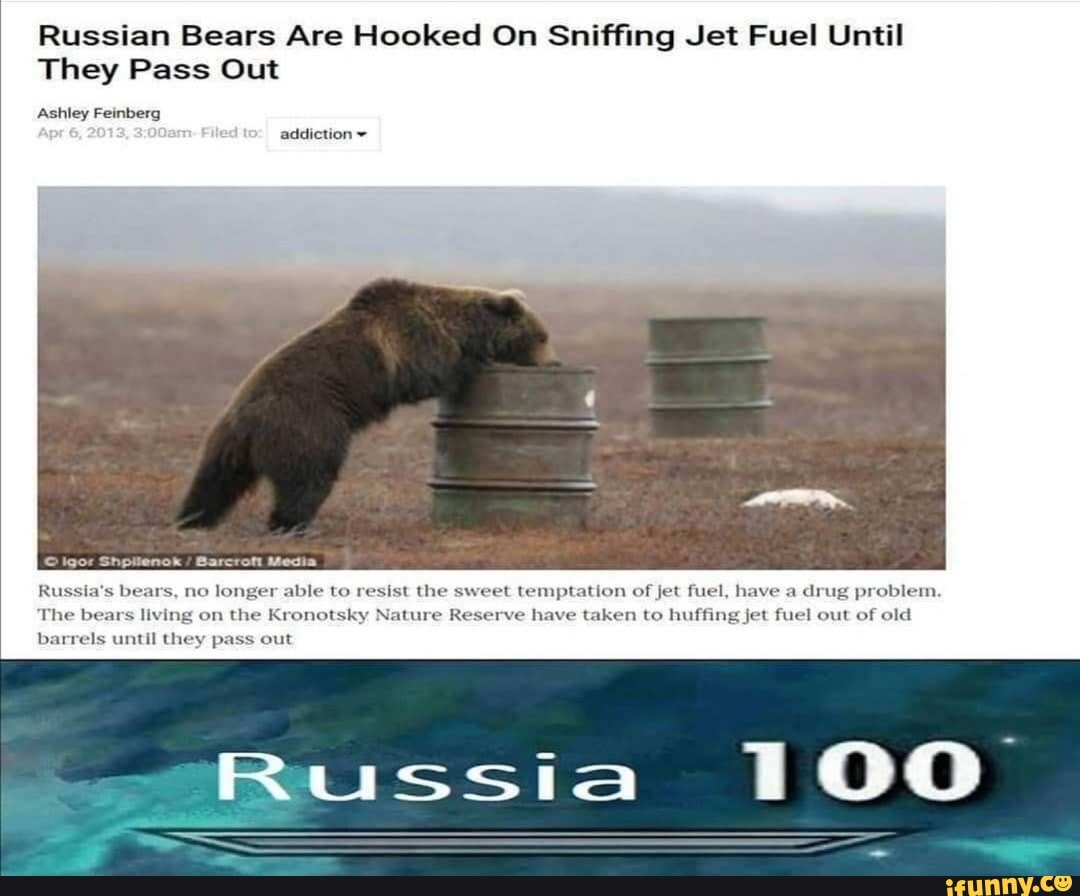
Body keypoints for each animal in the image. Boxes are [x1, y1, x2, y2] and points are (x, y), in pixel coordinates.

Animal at [176, 277, 559, 534]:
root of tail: (247, 419)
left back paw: (192, 518)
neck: (460, 326)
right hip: (309, 421)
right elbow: (430, 373)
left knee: (215, 480)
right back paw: (290, 523)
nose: (553, 362)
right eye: (542, 336)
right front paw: (476, 362)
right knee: (309, 475)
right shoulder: (414, 340)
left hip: (227, 442)